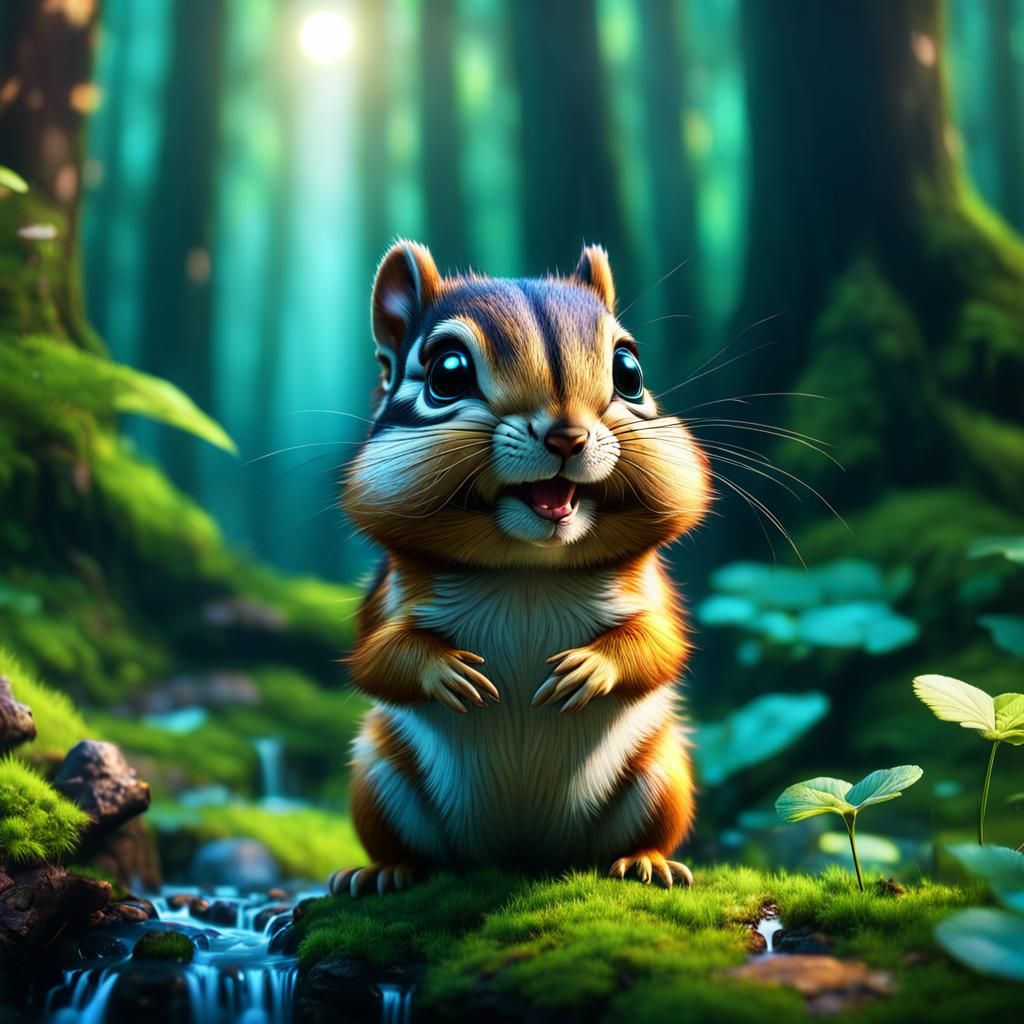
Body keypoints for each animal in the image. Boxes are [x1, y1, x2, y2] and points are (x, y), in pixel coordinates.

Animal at [329, 241, 711, 897]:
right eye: (447, 374)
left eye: (629, 372)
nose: (567, 435)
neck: (526, 569)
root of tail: (521, 854)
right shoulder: (385, 598)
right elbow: (376, 658)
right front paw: (447, 673)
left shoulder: (651, 593)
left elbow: (661, 645)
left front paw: (590, 669)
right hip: (375, 775)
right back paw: (385, 871)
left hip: (663, 772)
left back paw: (646, 861)